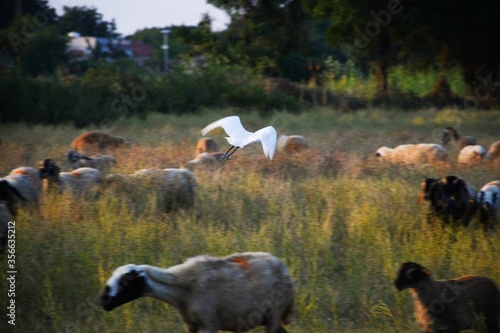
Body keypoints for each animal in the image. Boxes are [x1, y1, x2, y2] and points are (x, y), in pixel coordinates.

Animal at [98, 252, 292, 332]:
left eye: (126, 280)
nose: (103, 300)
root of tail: (283, 266)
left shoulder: (209, 324)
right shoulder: (191, 325)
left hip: (274, 314)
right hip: (269, 318)